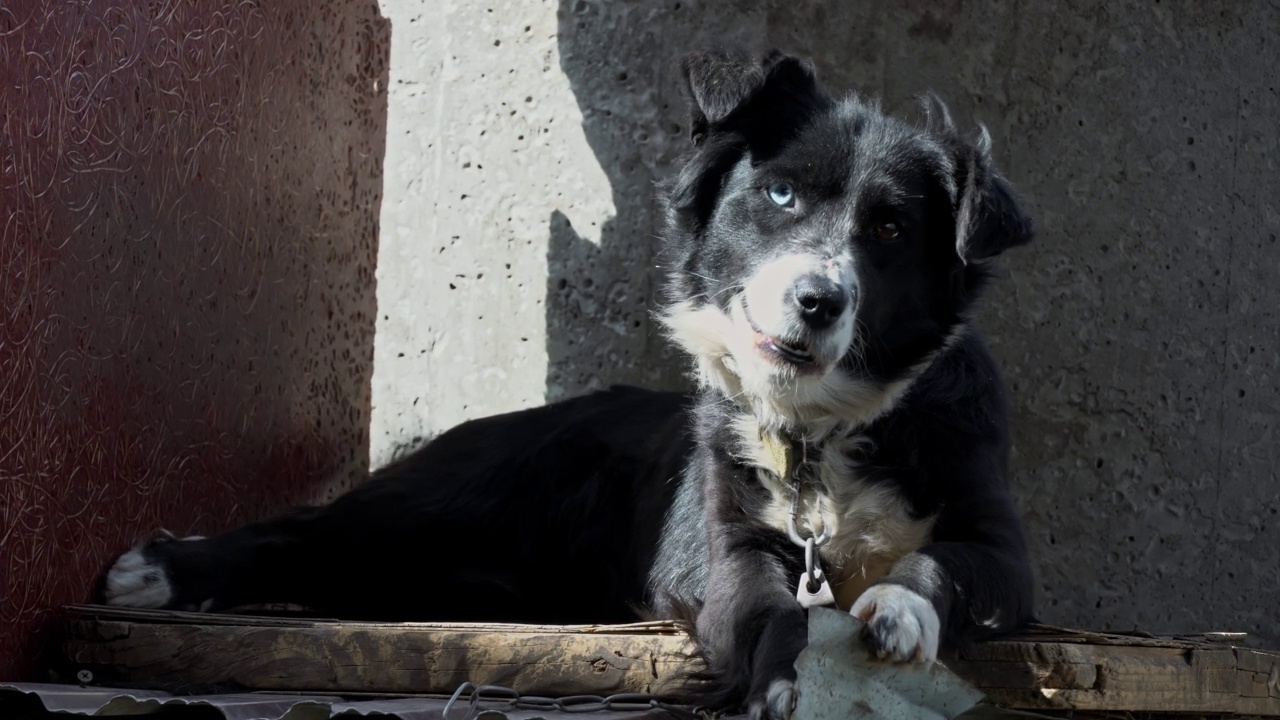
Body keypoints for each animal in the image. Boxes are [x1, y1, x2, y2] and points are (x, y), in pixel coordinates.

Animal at [102, 47, 1039, 712]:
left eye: (890, 230)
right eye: (779, 195)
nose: (816, 301)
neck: (817, 427)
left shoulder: (1002, 545)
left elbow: (942, 561)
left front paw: (899, 610)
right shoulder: (725, 539)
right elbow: (769, 606)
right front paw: (784, 684)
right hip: (450, 493)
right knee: (308, 530)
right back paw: (158, 572)